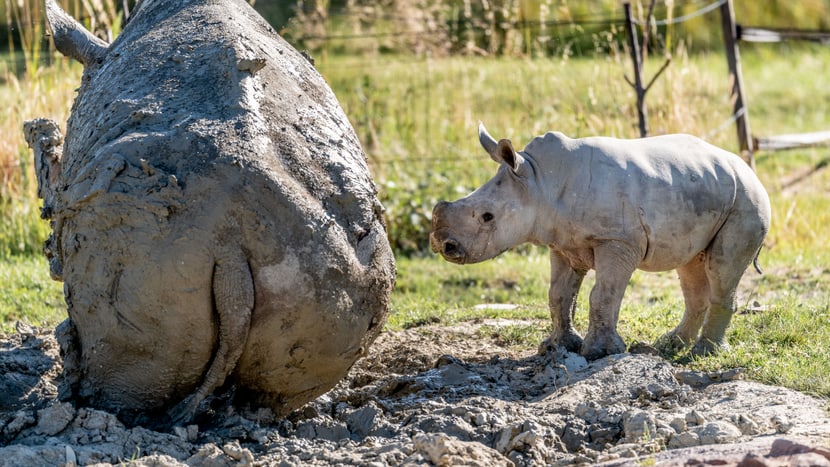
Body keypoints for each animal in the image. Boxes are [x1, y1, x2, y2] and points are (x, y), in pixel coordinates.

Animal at [432, 123, 772, 358]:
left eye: (487, 217)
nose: (444, 246)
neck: (538, 182)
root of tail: (747, 168)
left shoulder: (617, 241)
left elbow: (603, 294)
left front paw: (600, 352)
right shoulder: (562, 243)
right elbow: (558, 295)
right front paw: (557, 347)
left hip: (746, 200)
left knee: (721, 269)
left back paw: (704, 353)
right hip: (705, 190)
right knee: (690, 267)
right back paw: (670, 344)